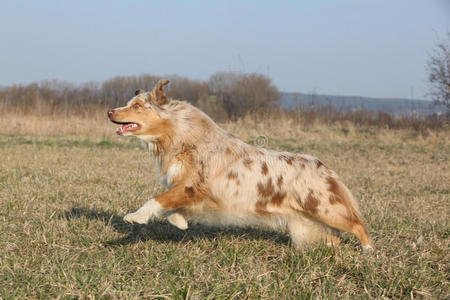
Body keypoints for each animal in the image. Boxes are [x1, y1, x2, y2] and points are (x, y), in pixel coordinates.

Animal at [108, 79, 372, 251]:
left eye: (136, 106)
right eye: (129, 103)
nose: (110, 111)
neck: (183, 137)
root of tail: (324, 167)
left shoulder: (191, 186)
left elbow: (156, 200)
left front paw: (135, 217)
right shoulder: (193, 192)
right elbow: (173, 210)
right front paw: (180, 221)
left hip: (325, 209)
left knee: (358, 224)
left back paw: (368, 252)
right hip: (312, 218)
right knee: (334, 237)